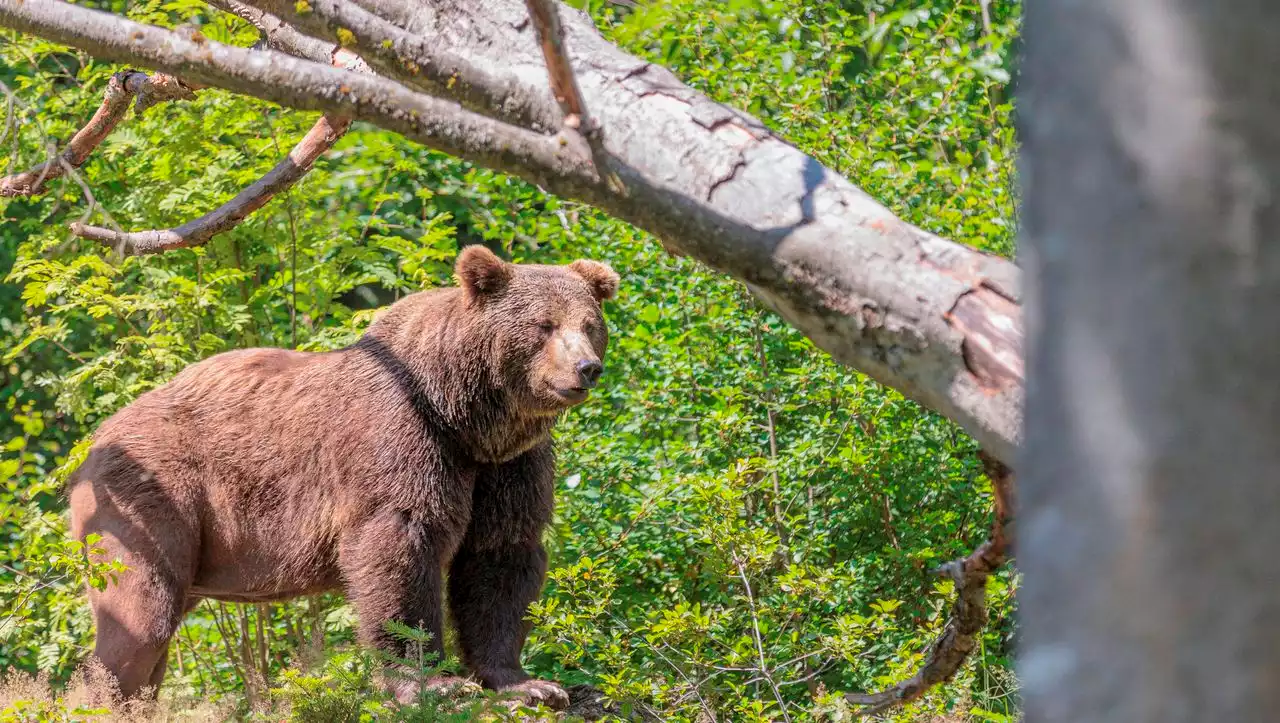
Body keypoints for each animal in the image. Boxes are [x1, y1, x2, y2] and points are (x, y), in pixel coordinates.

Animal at [68, 245, 619, 706]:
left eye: (590, 324)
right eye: (544, 325)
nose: (586, 368)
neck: (464, 415)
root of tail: (92, 443)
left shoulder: (506, 467)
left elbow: (499, 556)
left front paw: (529, 684)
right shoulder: (401, 438)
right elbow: (398, 546)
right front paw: (433, 683)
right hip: (155, 498)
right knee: (141, 617)